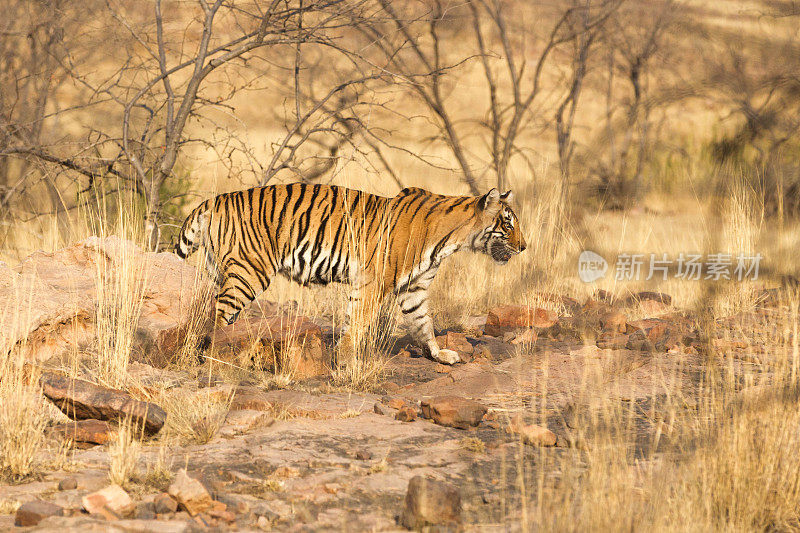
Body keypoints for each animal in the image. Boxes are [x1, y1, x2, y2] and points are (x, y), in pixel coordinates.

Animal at [174, 181, 524, 364]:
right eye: (508, 224)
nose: (523, 247)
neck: (451, 240)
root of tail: (211, 201)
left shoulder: (414, 289)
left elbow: (423, 324)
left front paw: (440, 355)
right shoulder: (374, 282)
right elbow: (357, 323)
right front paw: (344, 362)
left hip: (223, 271)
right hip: (250, 272)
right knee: (218, 311)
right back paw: (216, 355)